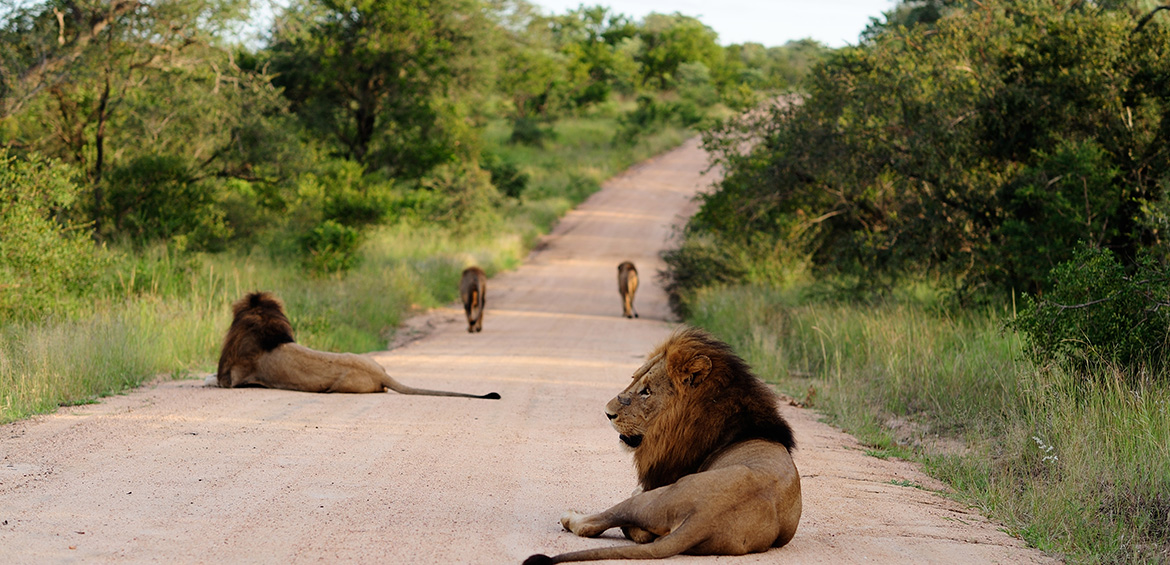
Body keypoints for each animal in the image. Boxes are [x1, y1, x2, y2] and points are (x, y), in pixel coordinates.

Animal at [524, 327, 800, 564]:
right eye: (634, 379)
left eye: (646, 391)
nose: (607, 413)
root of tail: (703, 519)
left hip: (654, 499)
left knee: (595, 524)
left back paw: (572, 517)